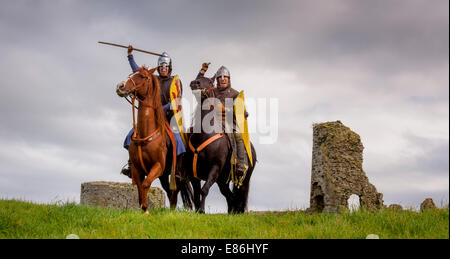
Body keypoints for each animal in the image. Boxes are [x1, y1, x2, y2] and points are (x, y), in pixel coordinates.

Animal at [115, 66, 191, 213]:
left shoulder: (158, 166)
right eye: (132, 72)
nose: (120, 86)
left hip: (174, 175)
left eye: (142, 76)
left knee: (175, 192)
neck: (146, 133)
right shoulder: (137, 169)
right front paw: (143, 208)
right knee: (169, 191)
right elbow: (139, 187)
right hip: (163, 176)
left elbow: (145, 184)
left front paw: (146, 209)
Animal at [185, 76, 256, 214]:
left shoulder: (215, 169)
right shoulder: (193, 174)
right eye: (198, 77)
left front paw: (202, 211)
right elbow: (196, 194)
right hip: (222, 181)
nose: (195, 83)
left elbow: (204, 190)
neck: (204, 134)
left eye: (210, 81)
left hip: (243, 179)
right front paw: (198, 211)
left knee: (240, 195)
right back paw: (231, 212)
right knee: (230, 195)